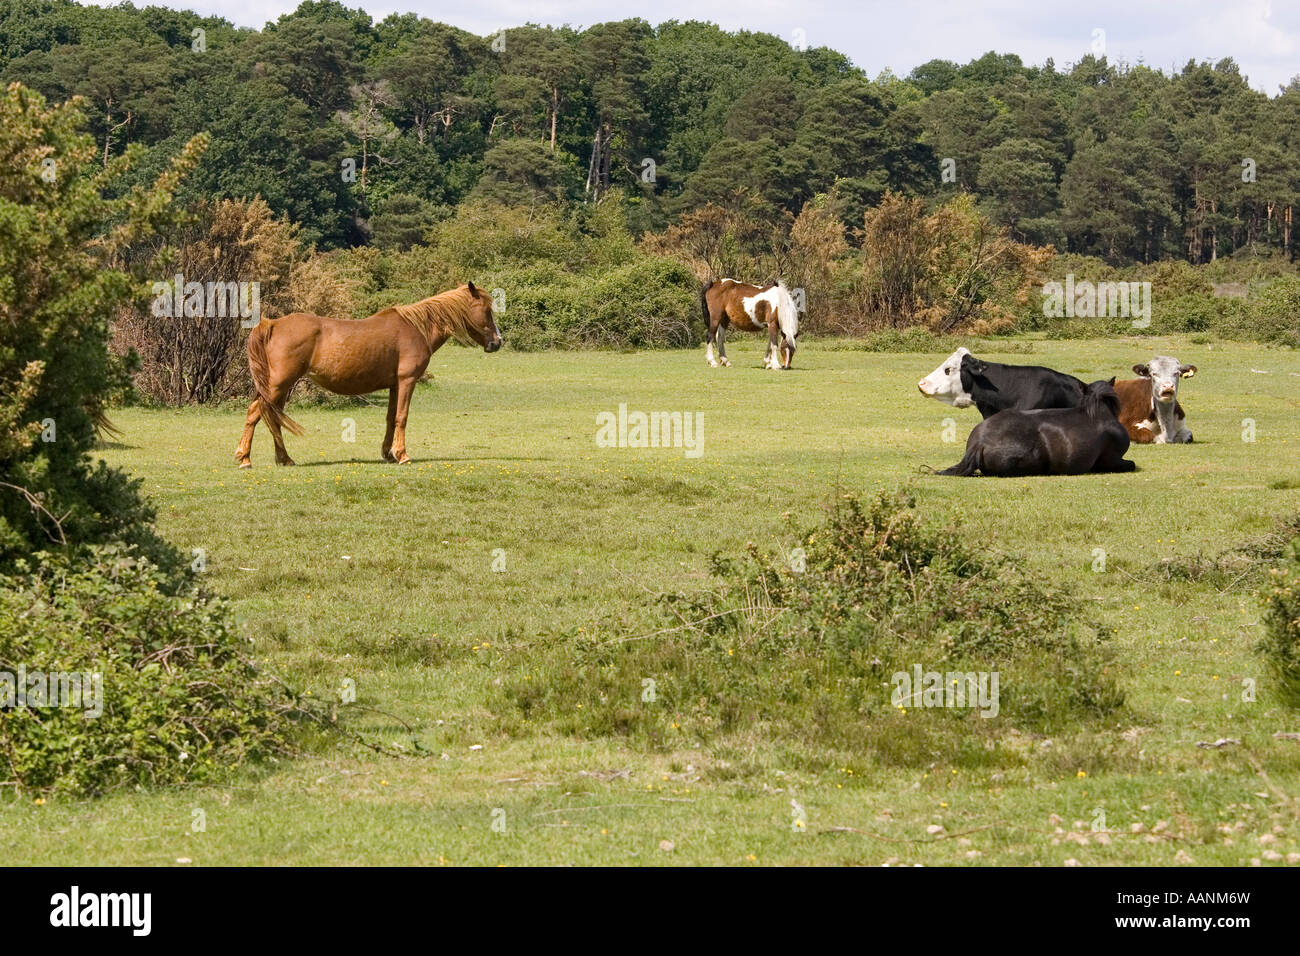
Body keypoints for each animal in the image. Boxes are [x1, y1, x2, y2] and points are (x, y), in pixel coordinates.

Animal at [235, 282, 501, 468]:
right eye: (486, 310)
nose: (497, 342)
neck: (417, 328)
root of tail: (273, 325)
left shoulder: (395, 385)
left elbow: (391, 418)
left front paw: (389, 453)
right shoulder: (407, 381)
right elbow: (402, 417)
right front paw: (402, 455)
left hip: (280, 388)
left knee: (272, 418)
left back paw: (284, 458)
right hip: (277, 386)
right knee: (255, 413)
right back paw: (245, 458)